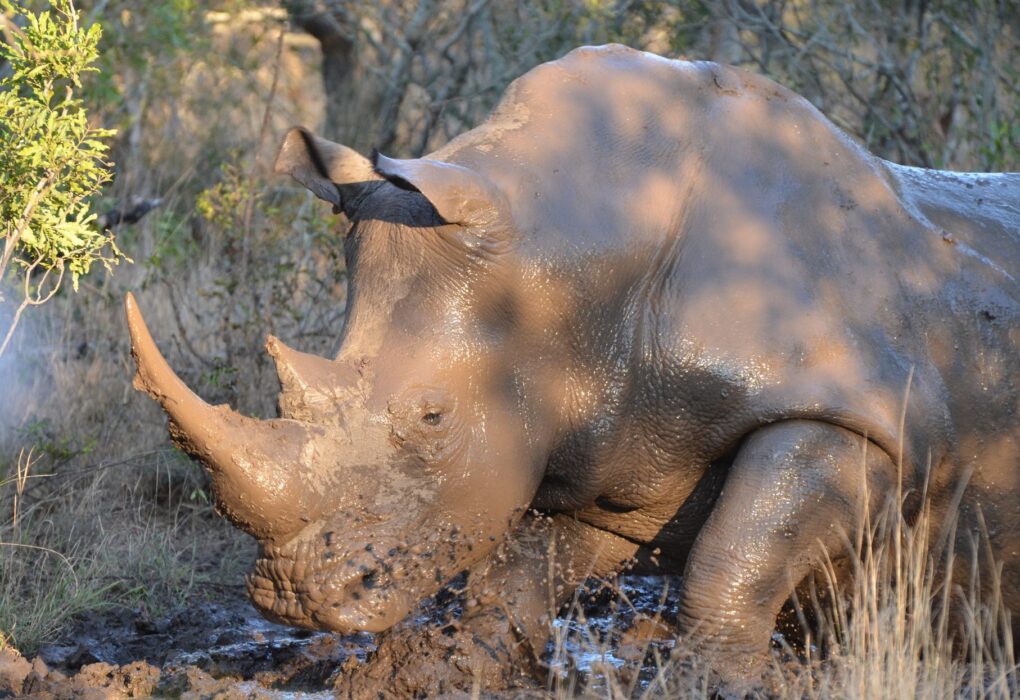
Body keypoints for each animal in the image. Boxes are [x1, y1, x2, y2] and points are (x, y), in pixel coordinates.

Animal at [126, 45, 1020, 691]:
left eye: (433, 419)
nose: (292, 596)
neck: (581, 259)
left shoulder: (859, 418)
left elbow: (732, 561)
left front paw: (706, 686)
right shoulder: (597, 438)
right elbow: (513, 582)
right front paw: (443, 678)